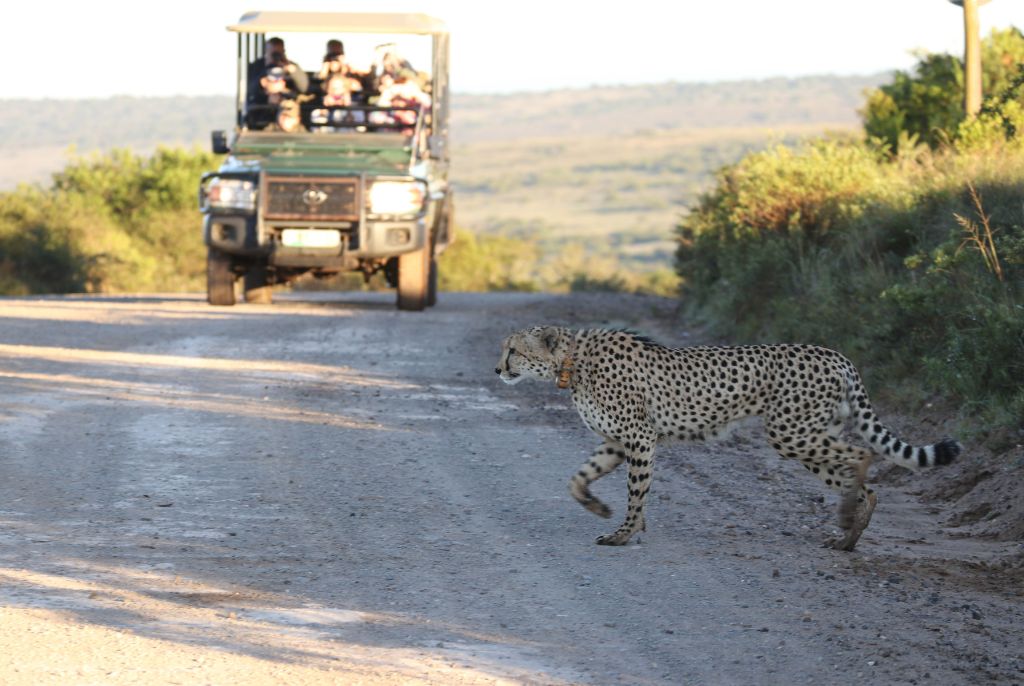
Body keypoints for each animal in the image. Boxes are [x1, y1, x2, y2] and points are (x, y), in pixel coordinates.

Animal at [495, 327, 958, 552]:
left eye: (513, 350)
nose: (497, 369)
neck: (573, 361)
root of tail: (835, 355)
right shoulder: (618, 441)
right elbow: (578, 478)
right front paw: (599, 508)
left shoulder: (640, 437)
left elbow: (637, 491)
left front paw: (625, 533)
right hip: (807, 434)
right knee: (862, 483)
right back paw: (847, 537)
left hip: (791, 433)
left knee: (861, 455)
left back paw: (846, 523)